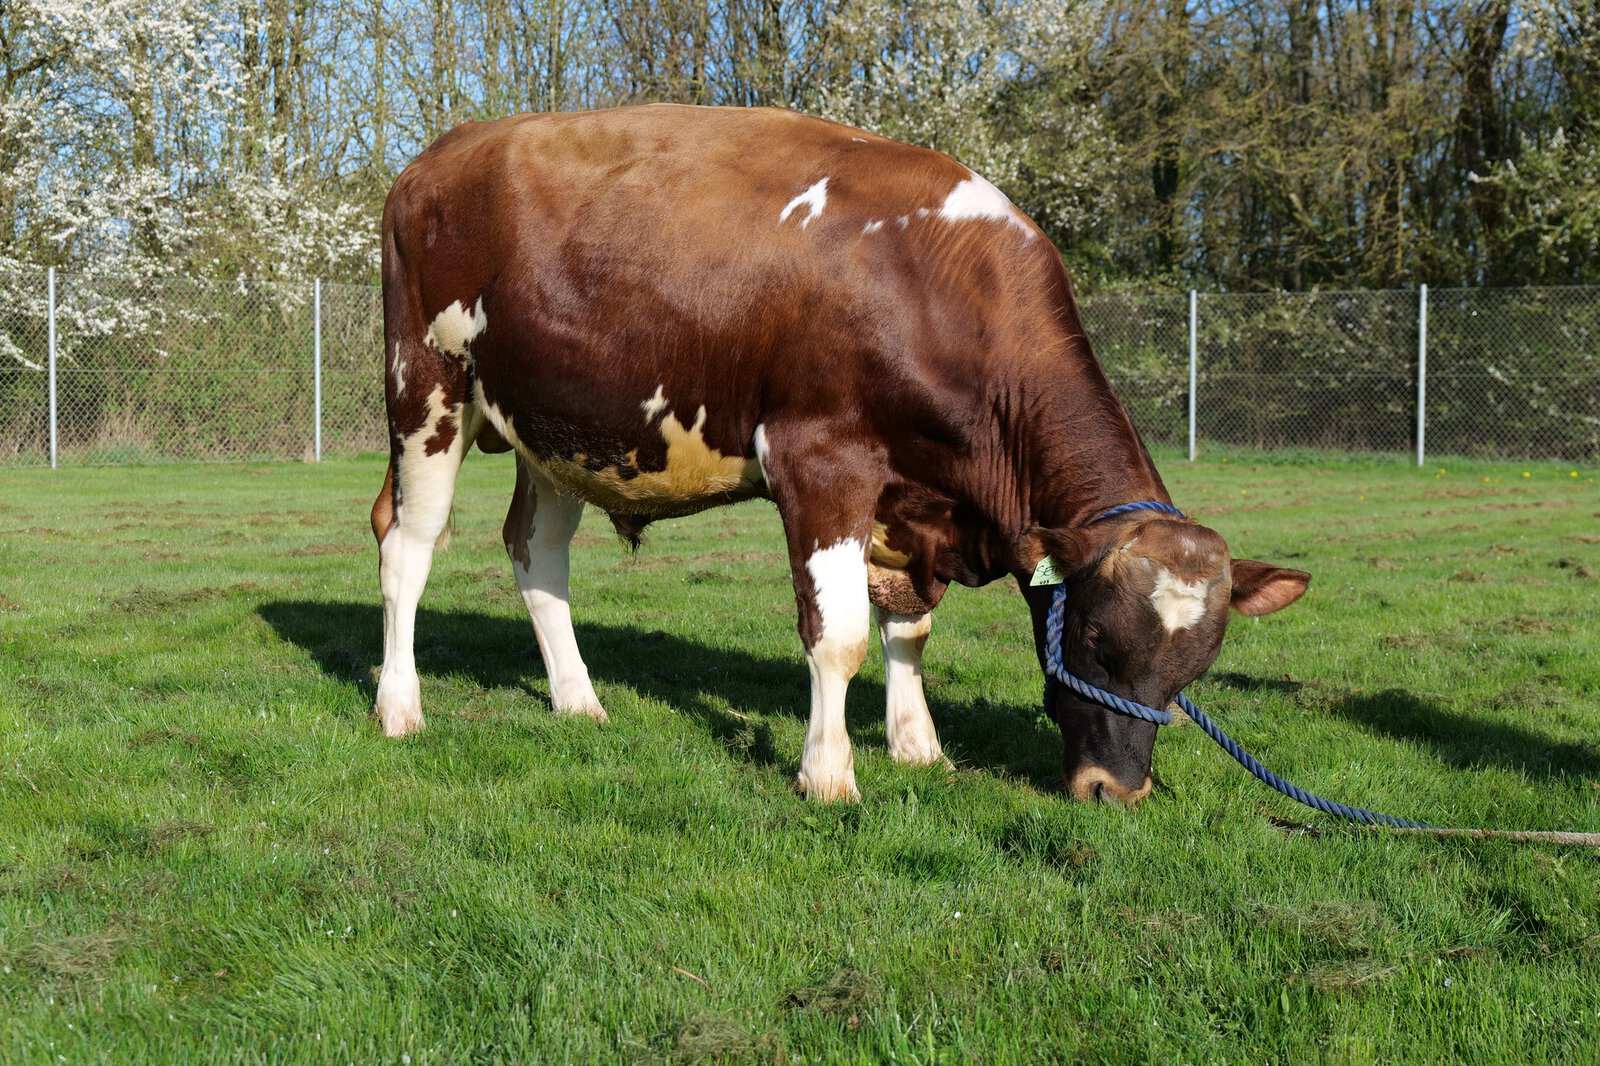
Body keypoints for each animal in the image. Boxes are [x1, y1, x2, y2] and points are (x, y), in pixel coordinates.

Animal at [370, 104, 1310, 805]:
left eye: (1193, 670)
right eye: (1092, 635)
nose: (1114, 790)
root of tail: (443, 153)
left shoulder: (909, 501)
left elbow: (910, 628)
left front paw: (918, 745)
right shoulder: (822, 464)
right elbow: (839, 637)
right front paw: (828, 774)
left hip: (558, 430)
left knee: (537, 554)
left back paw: (578, 700)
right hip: (427, 389)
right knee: (406, 547)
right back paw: (399, 706)